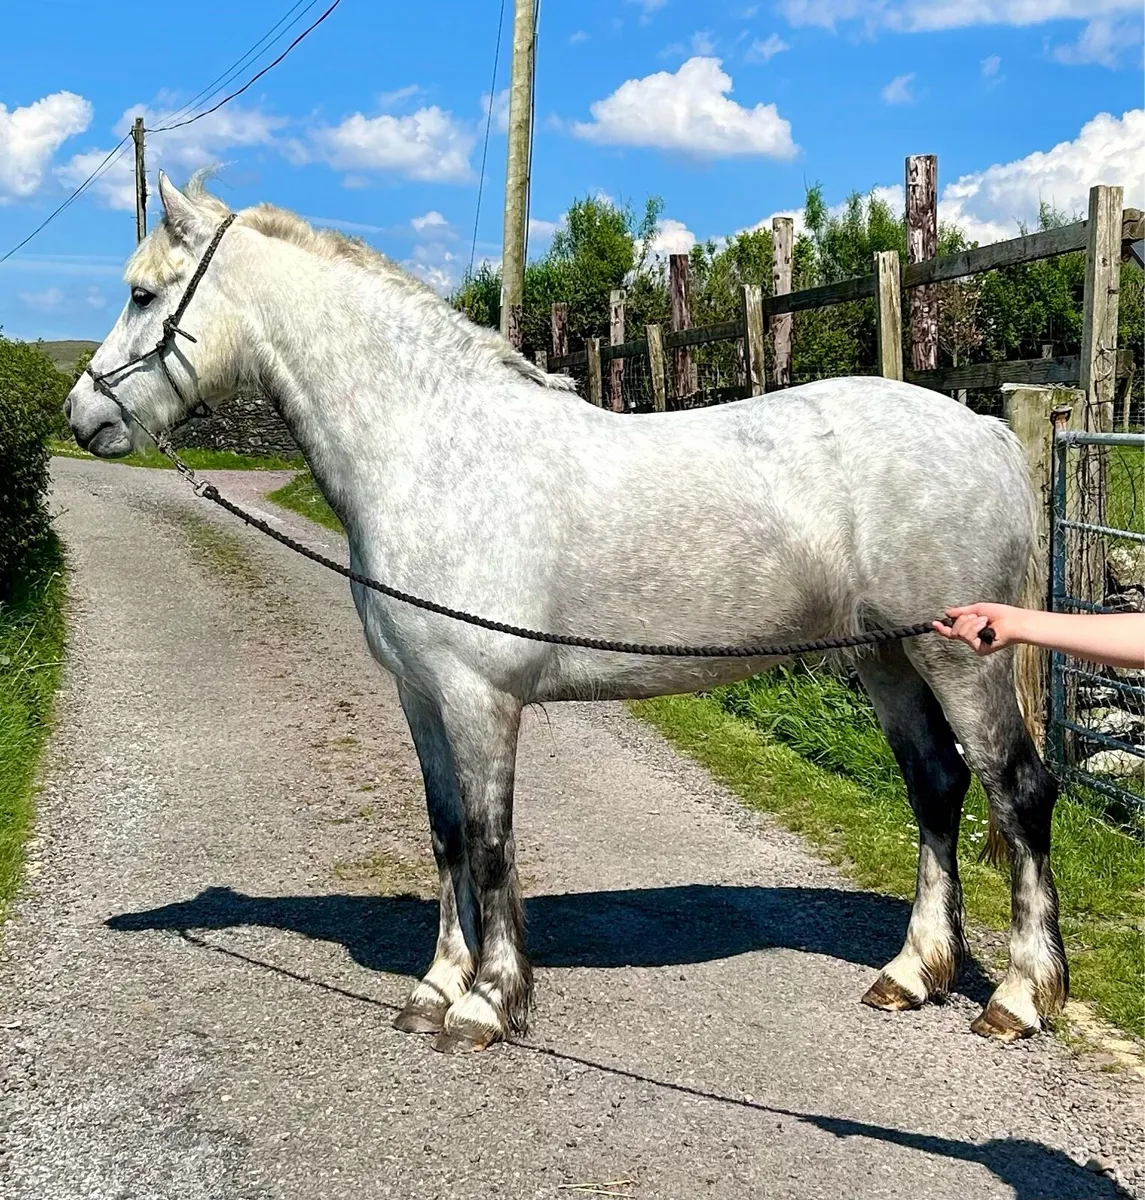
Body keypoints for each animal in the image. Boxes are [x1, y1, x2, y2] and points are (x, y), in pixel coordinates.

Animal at [65, 172, 1068, 1053]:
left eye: (142, 294)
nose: (82, 417)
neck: (436, 450)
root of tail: (981, 429)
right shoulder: (421, 697)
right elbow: (444, 833)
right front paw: (435, 988)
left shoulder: (480, 698)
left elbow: (491, 840)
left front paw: (487, 1004)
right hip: (887, 658)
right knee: (934, 786)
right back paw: (912, 974)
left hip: (960, 658)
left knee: (1015, 791)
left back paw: (1017, 997)